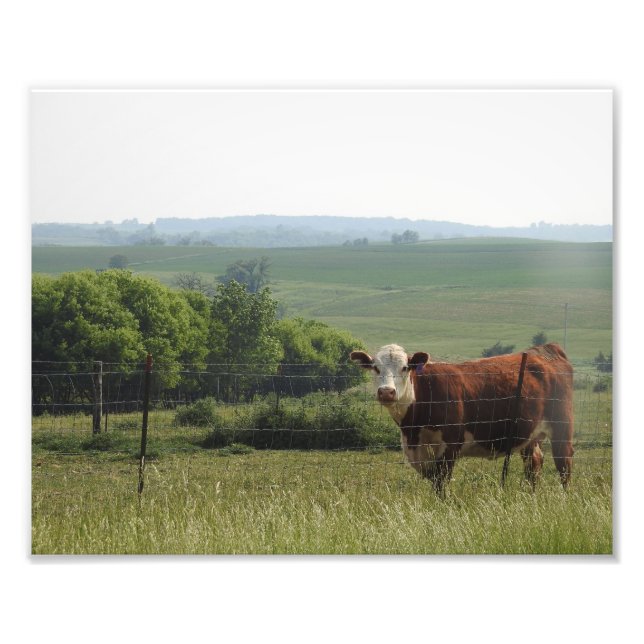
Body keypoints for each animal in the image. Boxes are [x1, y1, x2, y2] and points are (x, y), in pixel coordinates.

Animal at [350, 343, 574, 495]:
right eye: (375, 368)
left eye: (405, 367)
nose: (386, 392)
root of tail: (544, 350)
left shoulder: (450, 446)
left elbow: (441, 485)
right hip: (530, 434)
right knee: (534, 463)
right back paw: (529, 495)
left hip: (562, 427)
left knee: (564, 464)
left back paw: (564, 498)